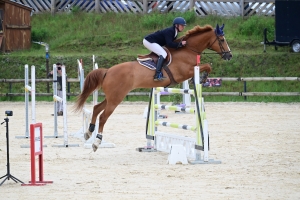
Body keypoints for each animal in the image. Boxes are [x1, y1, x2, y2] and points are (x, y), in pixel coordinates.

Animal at [73, 23, 232, 152]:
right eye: (222, 40)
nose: (229, 56)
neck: (188, 50)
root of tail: (108, 71)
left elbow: (207, 66)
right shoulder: (185, 72)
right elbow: (207, 66)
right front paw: (202, 79)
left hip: (113, 97)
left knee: (96, 108)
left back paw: (88, 133)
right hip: (116, 98)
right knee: (103, 116)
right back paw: (96, 142)